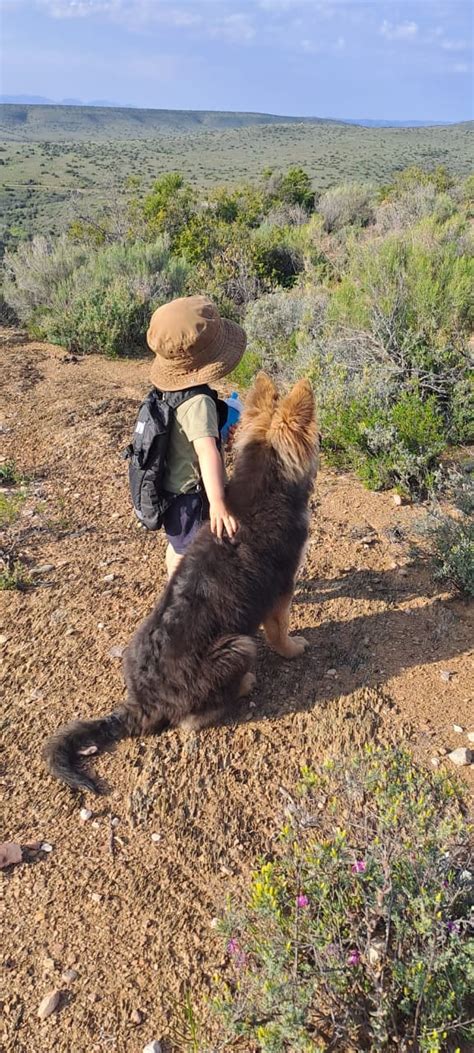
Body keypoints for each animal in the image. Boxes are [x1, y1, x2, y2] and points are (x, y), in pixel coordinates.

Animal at [44, 370, 318, 791]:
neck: (266, 482)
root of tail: (142, 702)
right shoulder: (281, 592)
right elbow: (280, 632)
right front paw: (293, 648)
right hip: (237, 646)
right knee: (192, 719)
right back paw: (244, 685)